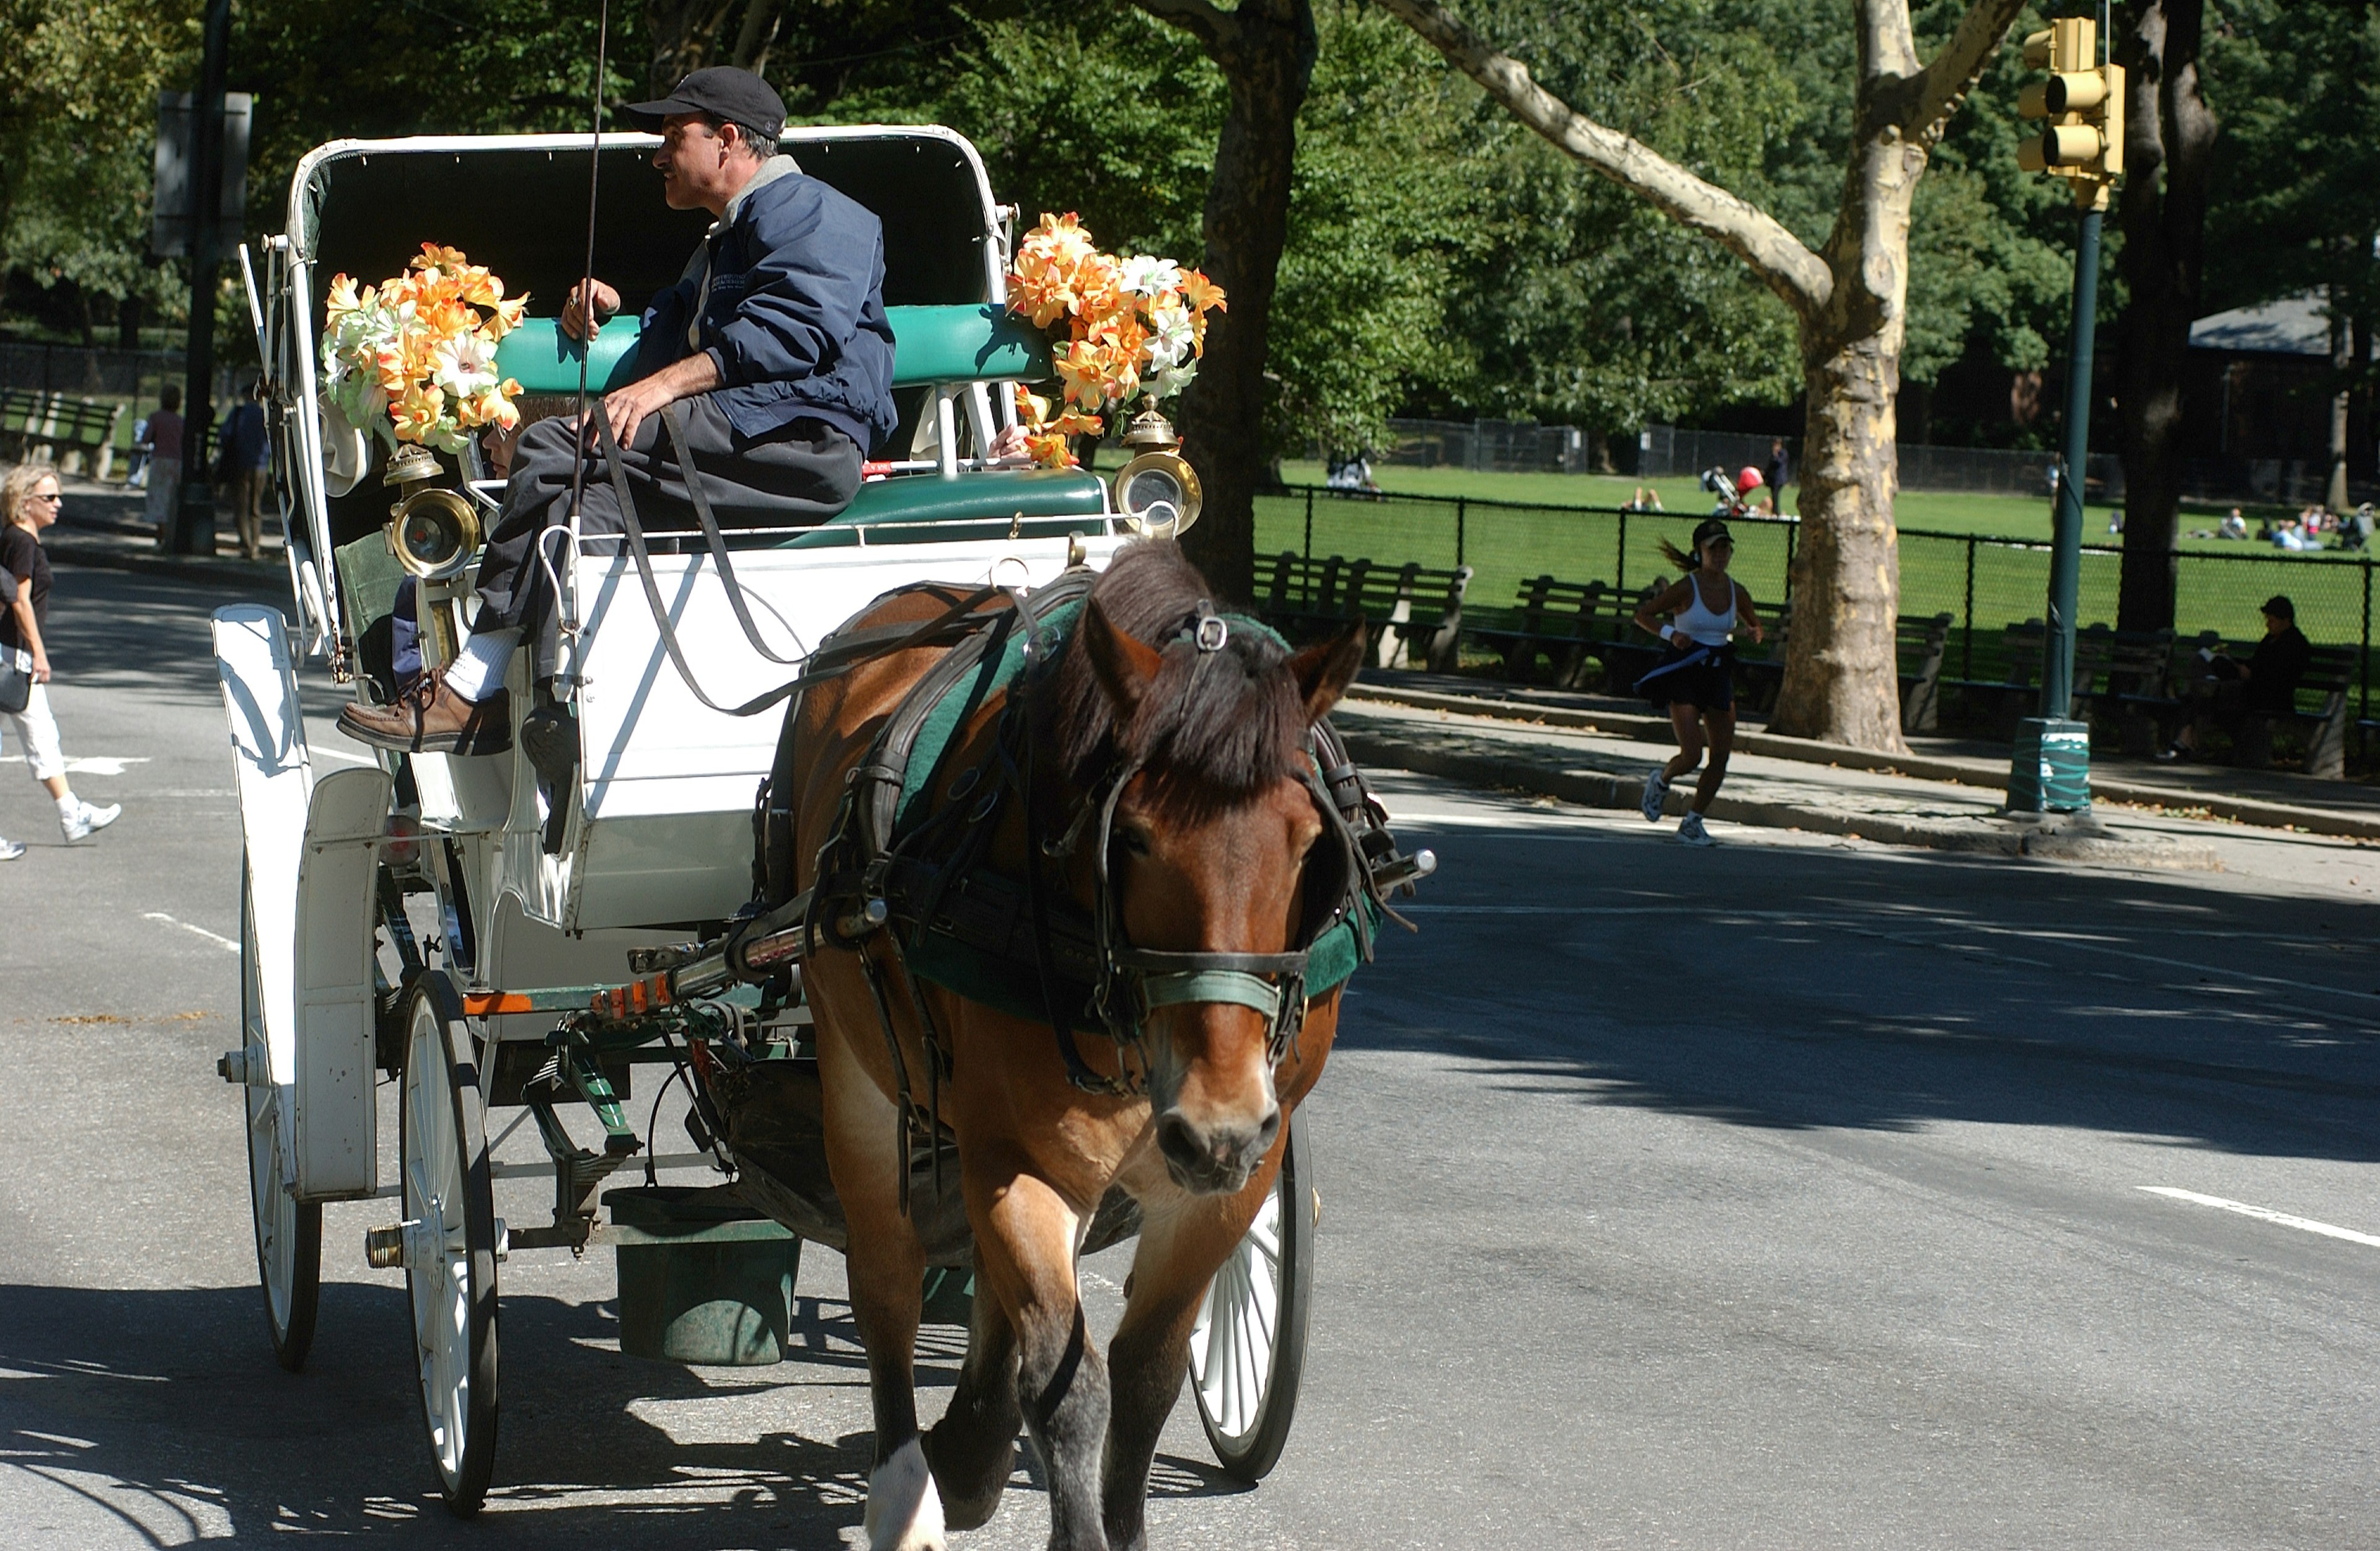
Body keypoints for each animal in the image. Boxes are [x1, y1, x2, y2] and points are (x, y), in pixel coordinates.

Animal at [784, 540, 1365, 1550]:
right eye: (1129, 837)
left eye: (1306, 844)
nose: (1216, 1122)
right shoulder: (1020, 1159)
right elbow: (1067, 1377)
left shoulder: (1238, 1174)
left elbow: (1148, 1370)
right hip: (857, 1075)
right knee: (888, 1281)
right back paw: (907, 1484)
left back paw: (969, 1447)